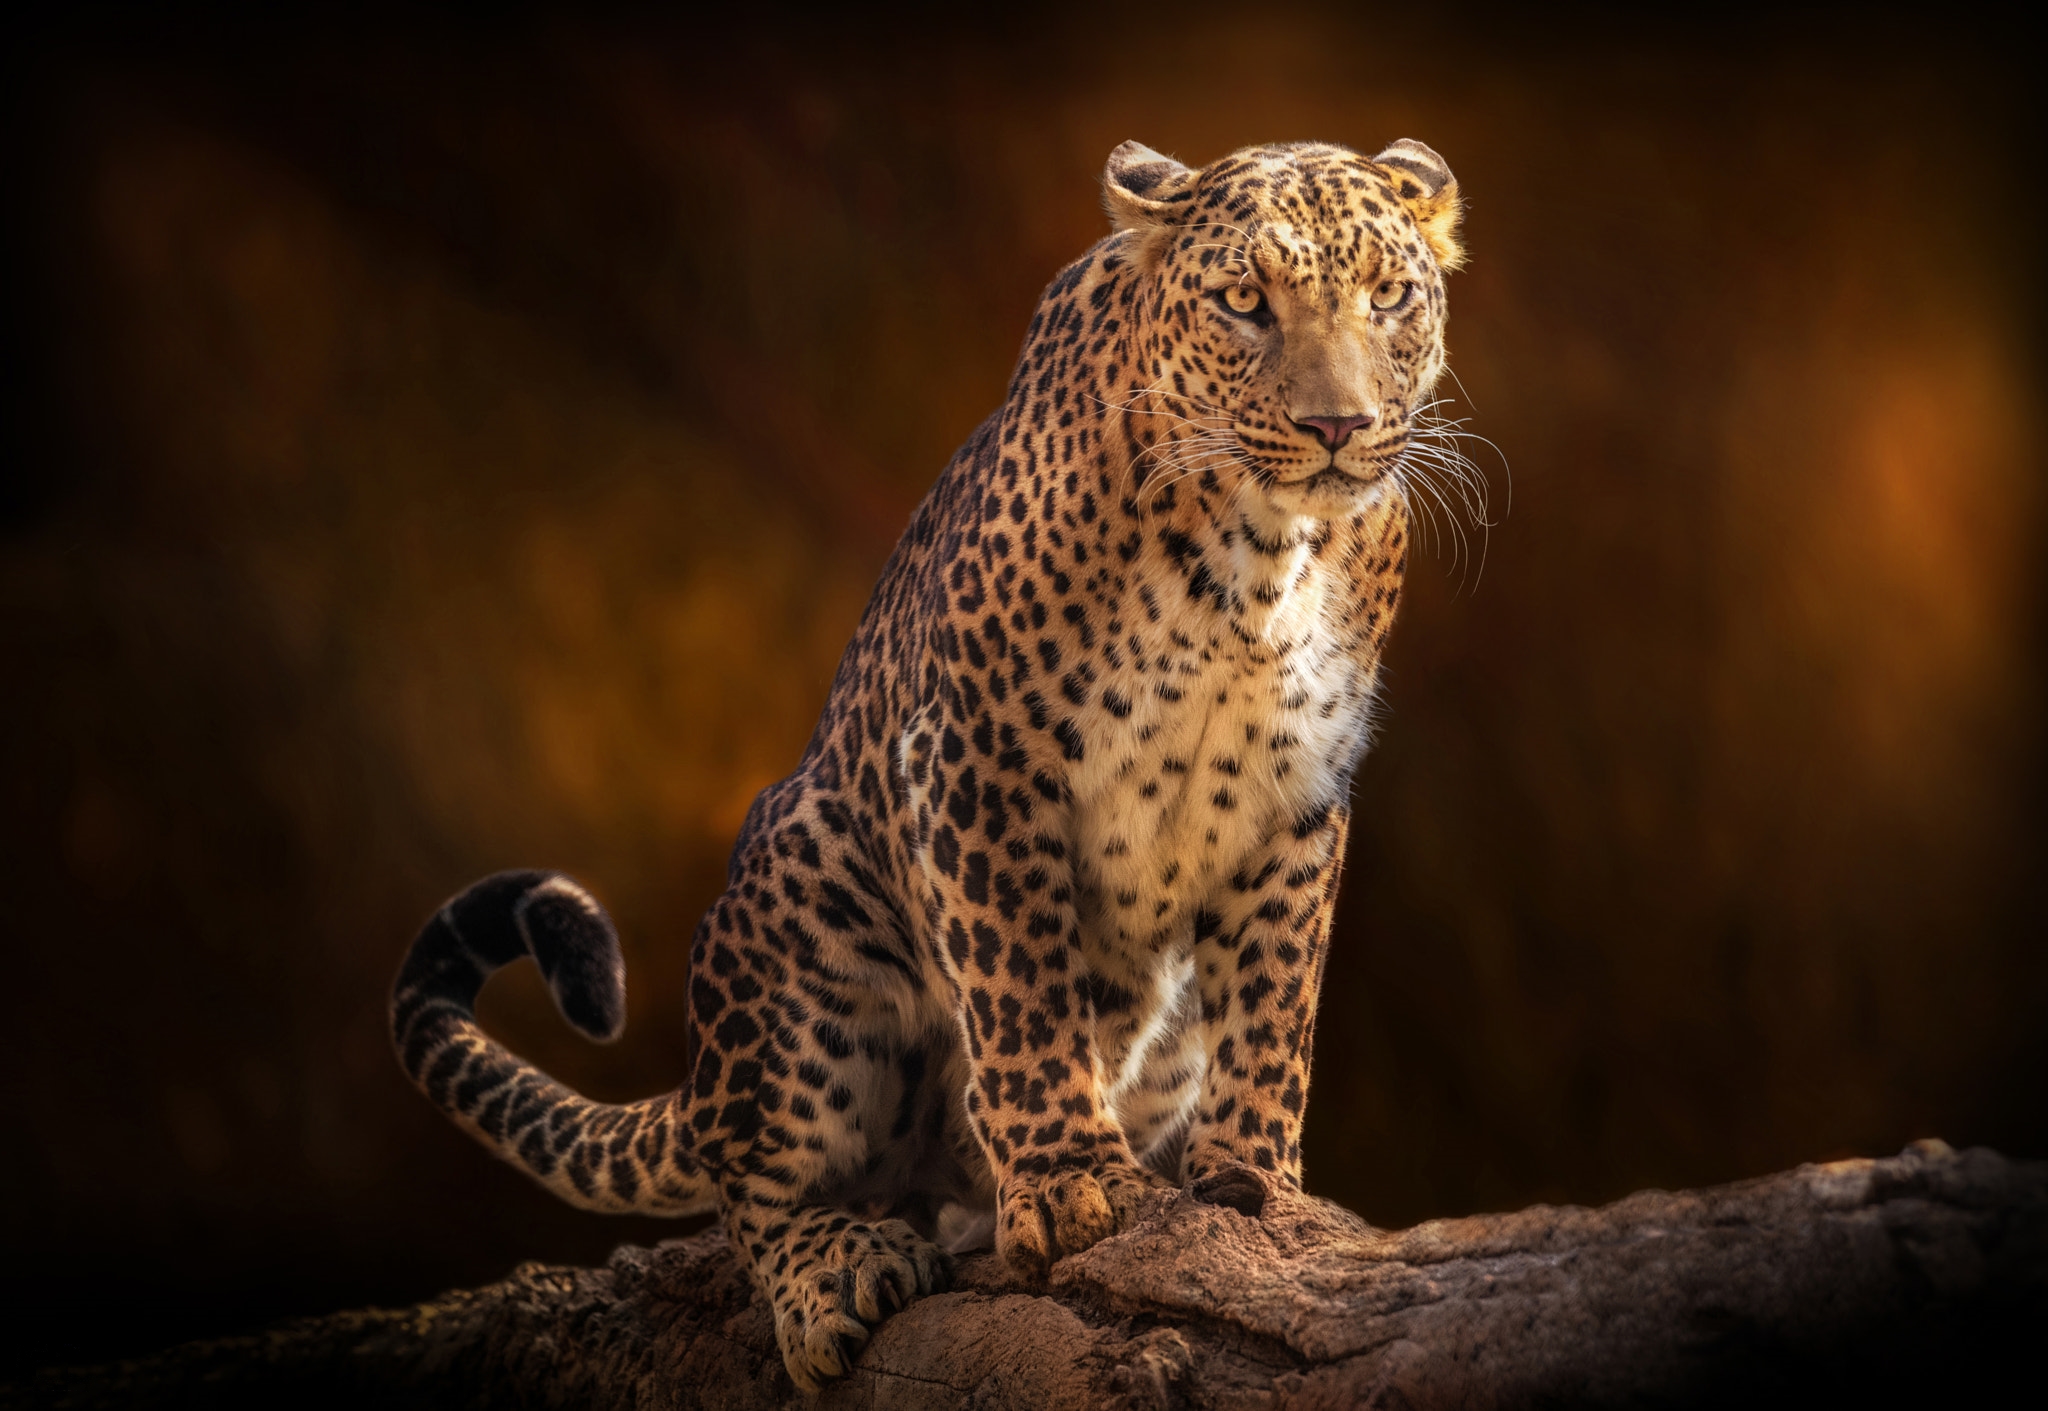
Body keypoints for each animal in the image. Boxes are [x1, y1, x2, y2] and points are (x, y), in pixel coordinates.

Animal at [391, 137, 1466, 1392]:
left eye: (1386, 298)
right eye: (1245, 303)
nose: (1339, 424)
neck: (1258, 556)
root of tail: (699, 1086)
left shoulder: (1295, 798)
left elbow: (1273, 1000)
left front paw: (1253, 1183)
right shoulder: (973, 750)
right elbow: (1020, 988)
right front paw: (1070, 1180)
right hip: (806, 885)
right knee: (761, 1181)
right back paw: (837, 1268)